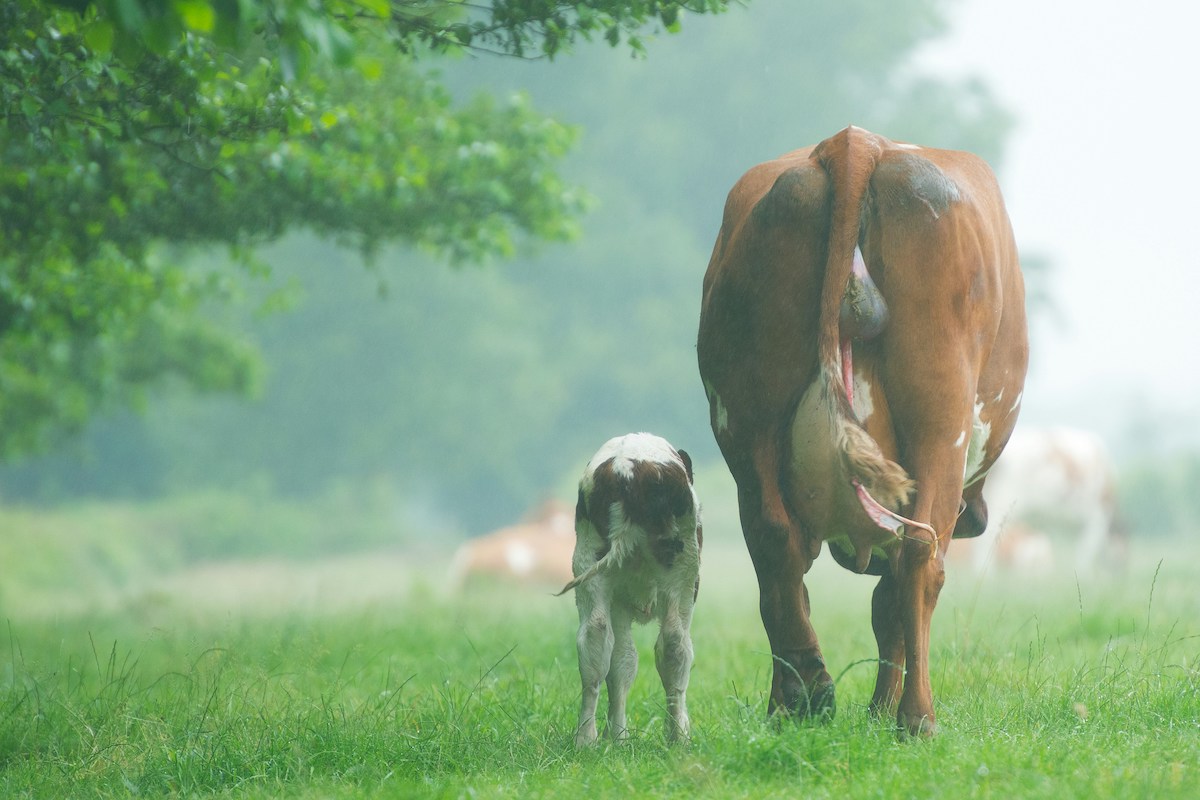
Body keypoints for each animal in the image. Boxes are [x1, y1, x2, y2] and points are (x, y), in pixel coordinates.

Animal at [554, 434, 700, 748]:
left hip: (589, 564)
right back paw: (678, 736)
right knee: (675, 644)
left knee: (595, 639)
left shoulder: (618, 602)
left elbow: (622, 662)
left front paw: (618, 737)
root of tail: (627, 469)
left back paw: (586, 738)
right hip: (683, 574)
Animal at [700, 126, 1027, 738]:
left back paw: (799, 698)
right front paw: (882, 709)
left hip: (745, 418)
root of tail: (856, 143)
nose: (978, 516)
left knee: (774, 545)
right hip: (941, 418)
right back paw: (917, 718)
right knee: (921, 556)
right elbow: (891, 599)